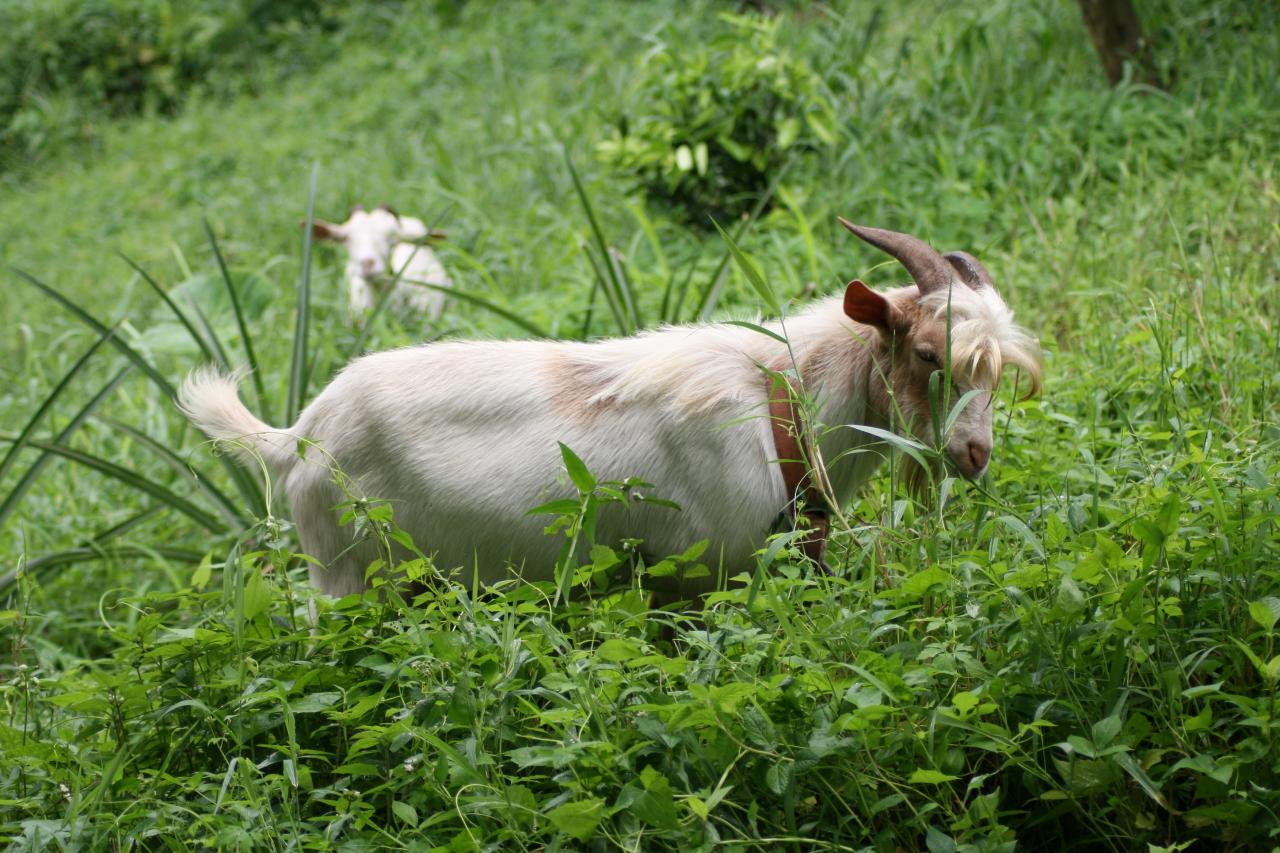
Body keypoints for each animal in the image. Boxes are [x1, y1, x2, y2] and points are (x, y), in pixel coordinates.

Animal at [183, 222, 1039, 601]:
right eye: (928, 353)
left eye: (998, 372)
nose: (975, 454)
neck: (780, 403)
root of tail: (295, 436)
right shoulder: (701, 571)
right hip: (343, 576)